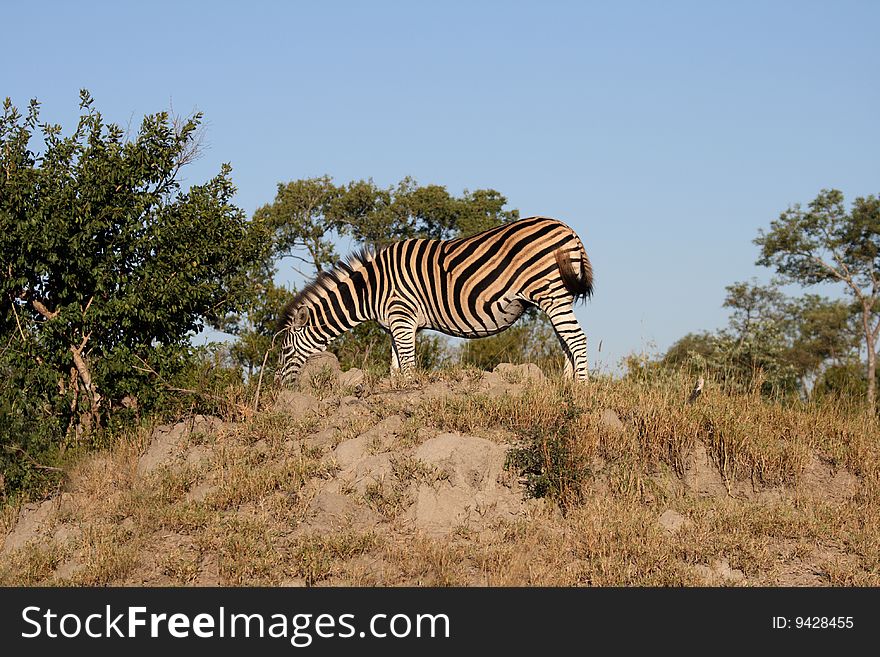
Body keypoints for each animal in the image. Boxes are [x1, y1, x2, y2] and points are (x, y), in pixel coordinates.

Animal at [276, 217, 592, 384]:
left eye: (286, 350)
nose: (278, 385)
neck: (371, 289)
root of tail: (567, 229)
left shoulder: (402, 317)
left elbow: (407, 365)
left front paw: (408, 393)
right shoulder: (396, 325)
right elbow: (396, 366)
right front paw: (396, 390)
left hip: (551, 292)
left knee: (576, 339)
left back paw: (580, 389)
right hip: (557, 296)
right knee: (566, 341)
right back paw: (565, 385)